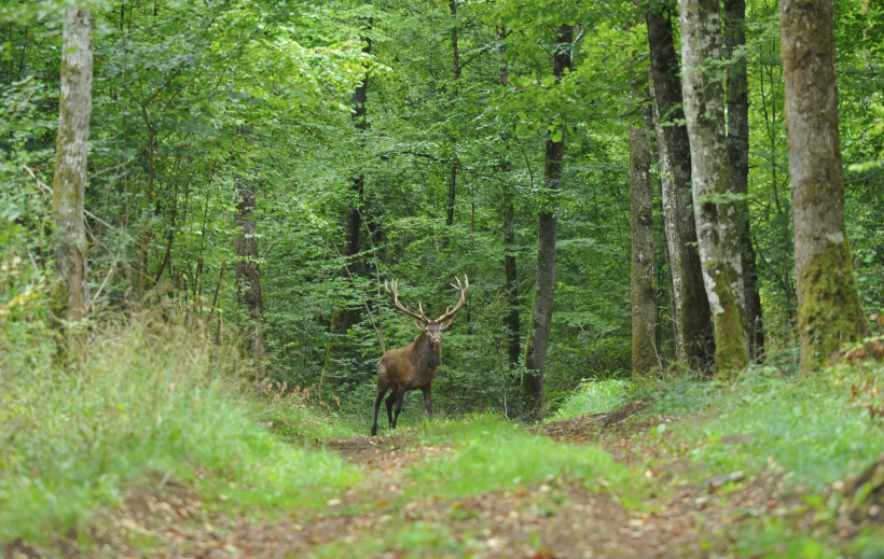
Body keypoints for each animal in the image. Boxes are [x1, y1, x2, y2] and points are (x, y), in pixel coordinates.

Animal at [370, 276, 470, 436]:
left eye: (440, 330)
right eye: (427, 330)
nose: (436, 339)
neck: (421, 370)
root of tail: (379, 360)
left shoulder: (426, 384)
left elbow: (429, 407)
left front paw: (432, 424)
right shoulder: (403, 383)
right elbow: (399, 408)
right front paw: (394, 427)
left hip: (393, 386)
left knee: (387, 401)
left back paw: (388, 424)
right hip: (382, 380)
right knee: (378, 402)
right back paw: (374, 430)